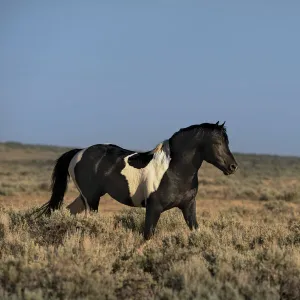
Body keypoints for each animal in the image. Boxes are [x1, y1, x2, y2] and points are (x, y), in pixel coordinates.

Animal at [35, 120, 238, 240]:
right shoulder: (154, 208)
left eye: (227, 142)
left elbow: (195, 230)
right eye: (217, 143)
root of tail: (78, 152)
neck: (174, 170)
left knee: (67, 212)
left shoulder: (188, 206)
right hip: (91, 200)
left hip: (86, 197)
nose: (233, 167)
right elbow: (147, 235)